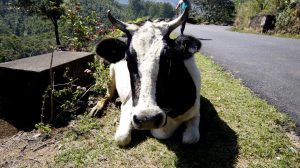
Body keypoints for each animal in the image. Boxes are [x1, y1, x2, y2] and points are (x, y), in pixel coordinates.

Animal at [89, 8, 202, 147]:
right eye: (128, 59)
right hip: (109, 74)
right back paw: (98, 107)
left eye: (169, 59)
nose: (147, 119)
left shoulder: (196, 113)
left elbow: (191, 138)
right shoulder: (130, 106)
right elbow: (122, 138)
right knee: (108, 95)